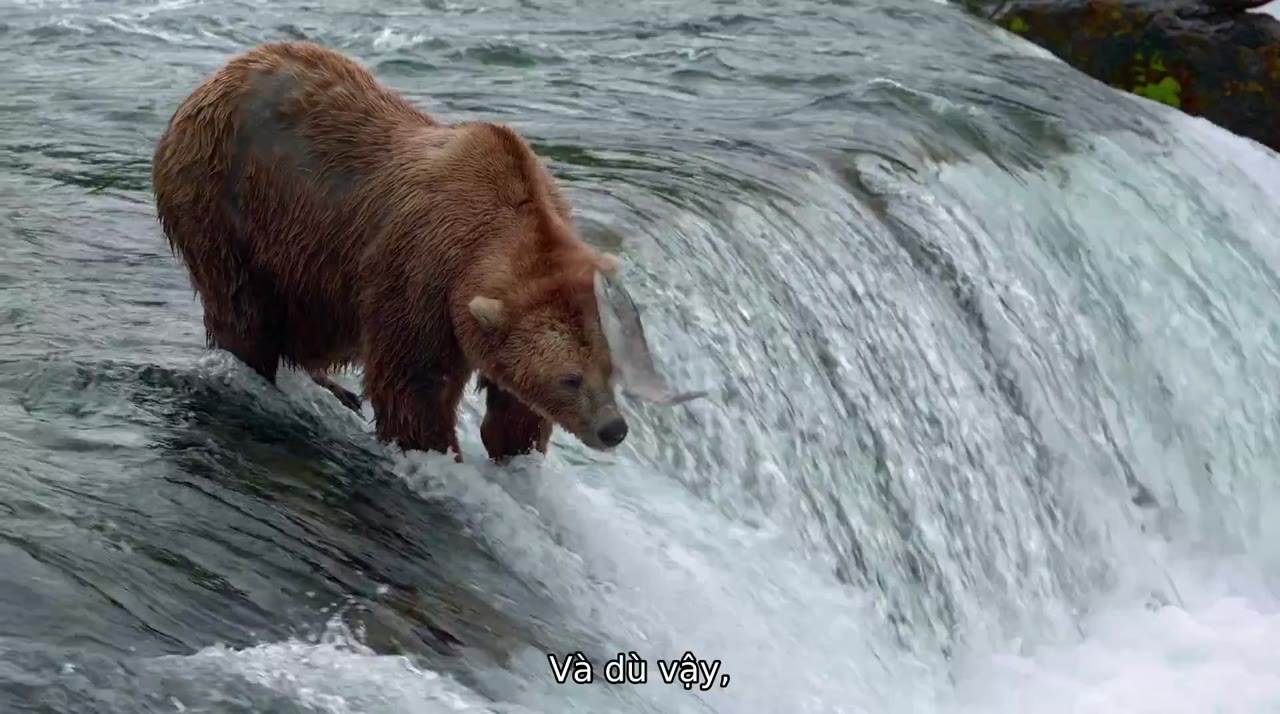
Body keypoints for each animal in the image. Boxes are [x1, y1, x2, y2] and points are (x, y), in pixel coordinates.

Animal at [151, 41, 701, 463]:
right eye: (570, 379)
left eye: (611, 368)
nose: (614, 428)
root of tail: (216, 75)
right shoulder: (420, 272)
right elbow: (414, 383)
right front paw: (438, 450)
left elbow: (512, 403)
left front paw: (515, 448)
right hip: (224, 196)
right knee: (241, 302)